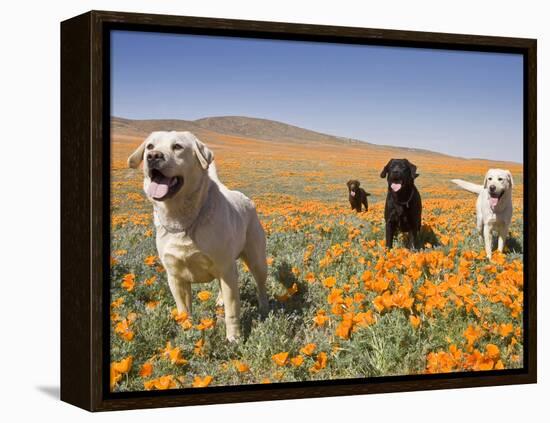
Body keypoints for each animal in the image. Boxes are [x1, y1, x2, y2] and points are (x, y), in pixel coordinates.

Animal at [128, 131, 270, 342]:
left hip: (256, 259)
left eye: (177, 146)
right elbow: (183, 310)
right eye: (150, 146)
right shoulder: (175, 276)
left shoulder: (225, 267)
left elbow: (232, 311)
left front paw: (234, 338)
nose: (153, 157)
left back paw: (264, 308)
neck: (182, 221)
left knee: (260, 284)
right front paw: (187, 331)